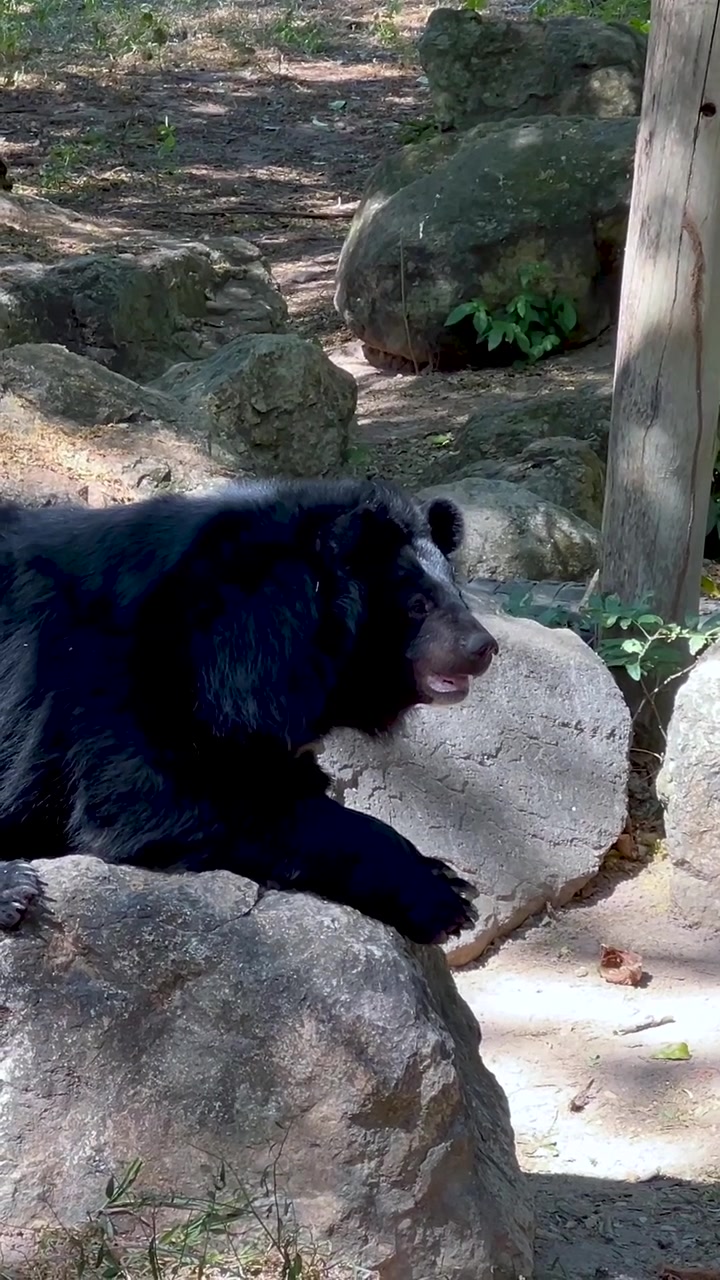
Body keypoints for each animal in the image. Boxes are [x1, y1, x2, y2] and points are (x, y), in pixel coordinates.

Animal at [0, 477, 498, 945]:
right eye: (417, 604)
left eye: (458, 595)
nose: (484, 647)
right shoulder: (116, 679)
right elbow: (154, 795)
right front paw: (441, 898)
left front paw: (439, 872)